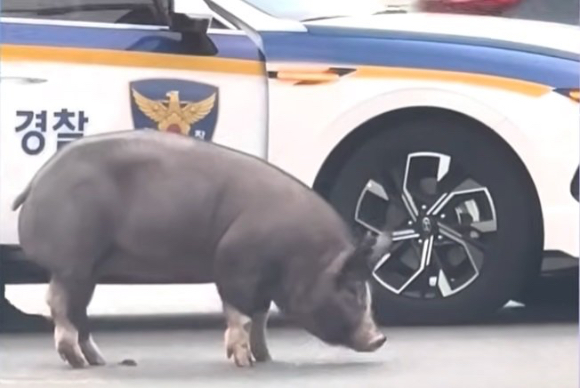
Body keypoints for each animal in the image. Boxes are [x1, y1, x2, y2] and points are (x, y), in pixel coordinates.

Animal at [11, 129, 392, 368]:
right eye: (352, 289)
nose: (380, 338)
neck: (302, 256)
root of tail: (36, 180)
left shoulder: (261, 284)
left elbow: (261, 317)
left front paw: (266, 358)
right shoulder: (234, 264)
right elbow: (240, 315)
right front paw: (243, 363)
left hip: (88, 268)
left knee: (78, 309)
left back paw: (98, 361)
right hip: (73, 261)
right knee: (58, 304)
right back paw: (77, 362)